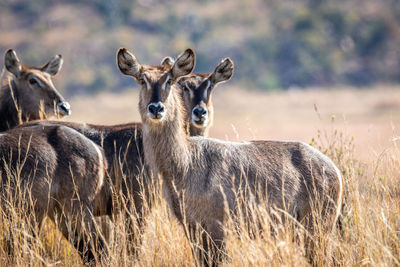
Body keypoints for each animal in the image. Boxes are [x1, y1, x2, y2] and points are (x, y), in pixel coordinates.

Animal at [116, 48, 344, 267]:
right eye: (142, 79)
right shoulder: (192, 228)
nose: (156, 108)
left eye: (170, 80)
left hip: (317, 228)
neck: (185, 163)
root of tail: (336, 170)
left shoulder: (218, 227)